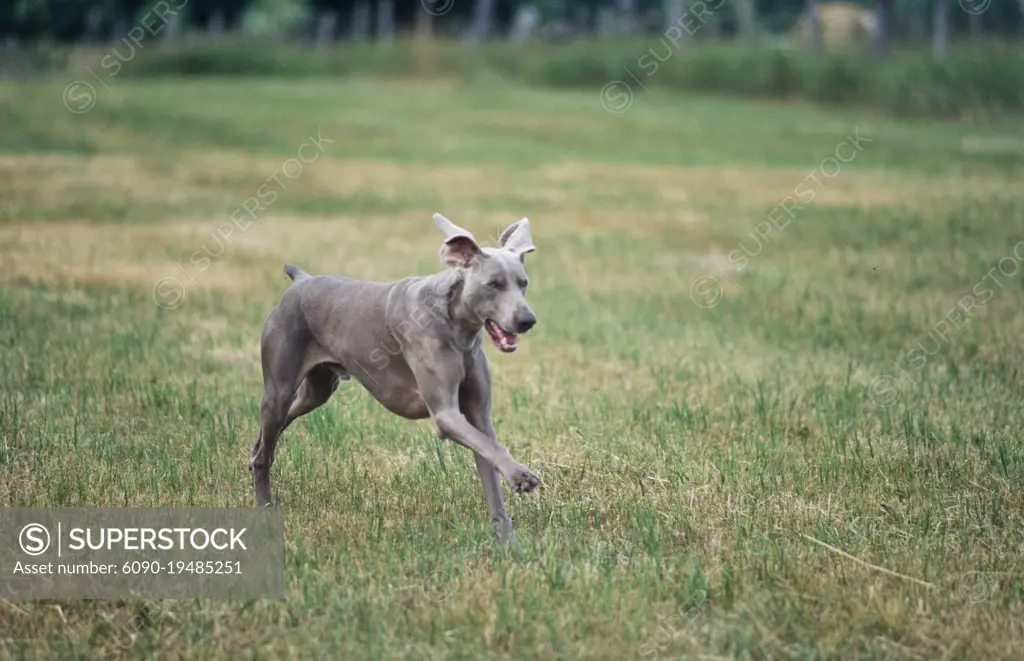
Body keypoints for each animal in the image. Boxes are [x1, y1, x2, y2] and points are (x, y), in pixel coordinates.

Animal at [251, 214, 544, 548]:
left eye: (523, 283)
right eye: (493, 285)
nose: (527, 320)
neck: (456, 325)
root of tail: (301, 280)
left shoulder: (478, 418)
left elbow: (490, 458)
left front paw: (511, 546)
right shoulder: (445, 415)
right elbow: (490, 446)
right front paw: (522, 475)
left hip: (316, 391)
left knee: (266, 440)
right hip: (279, 389)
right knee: (266, 447)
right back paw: (264, 508)